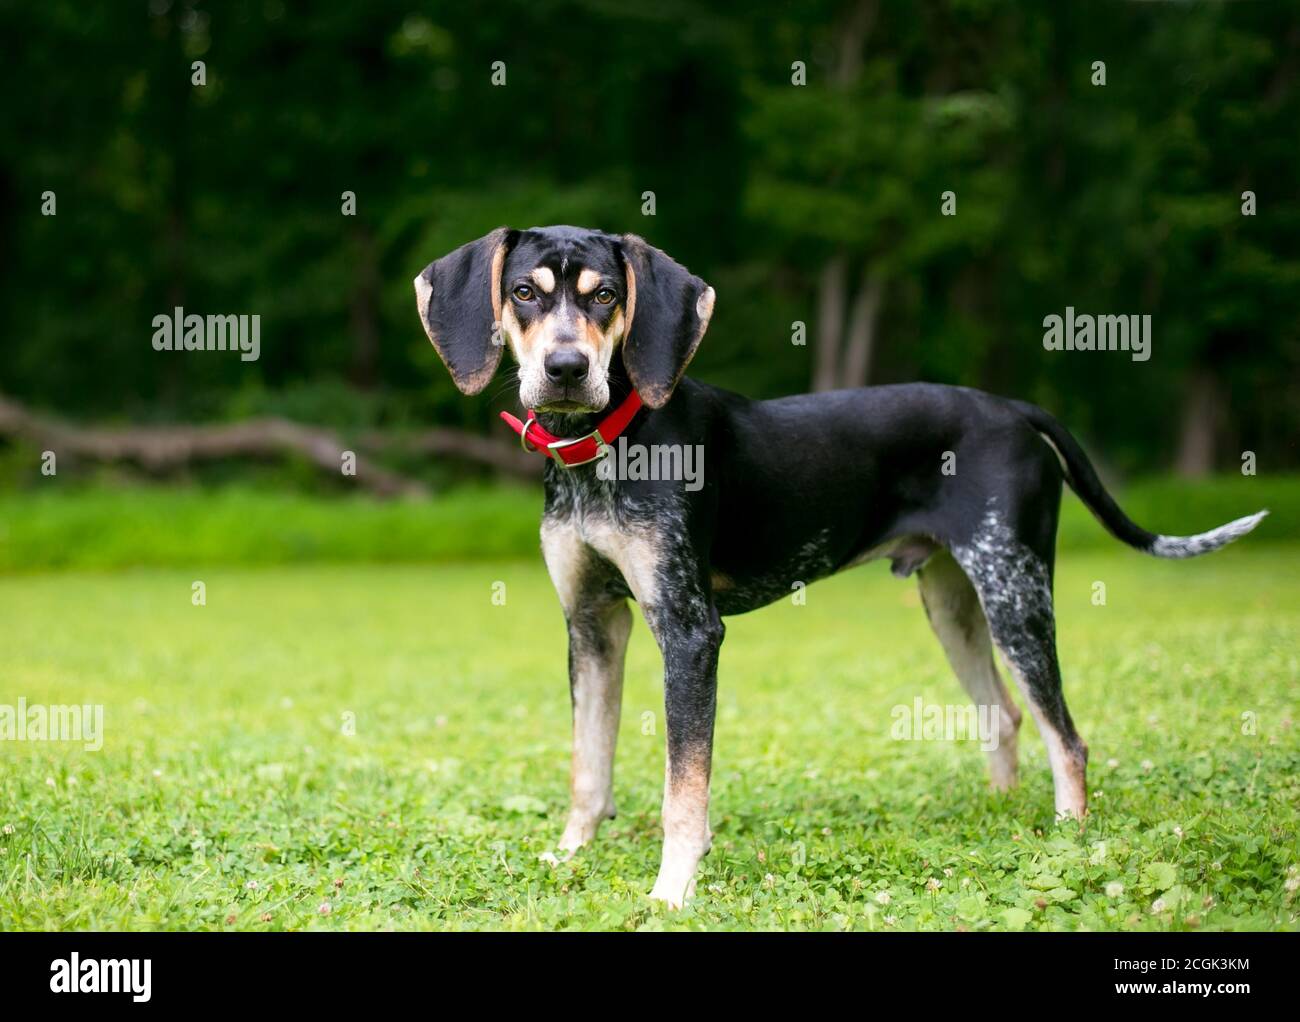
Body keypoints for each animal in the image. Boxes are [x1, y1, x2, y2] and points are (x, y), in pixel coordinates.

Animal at [416, 224, 1268, 910]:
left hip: (1017, 594)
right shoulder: (592, 623)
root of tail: (1011, 408)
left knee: (1069, 738)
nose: (565, 368)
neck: (604, 447)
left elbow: (683, 789)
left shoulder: (690, 632)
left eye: (606, 297)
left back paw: (1066, 837)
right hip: (955, 601)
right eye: (524, 292)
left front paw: (671, 892)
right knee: (1004, 714)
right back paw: (1002, 818)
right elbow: (588, 768)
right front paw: (570, 856)